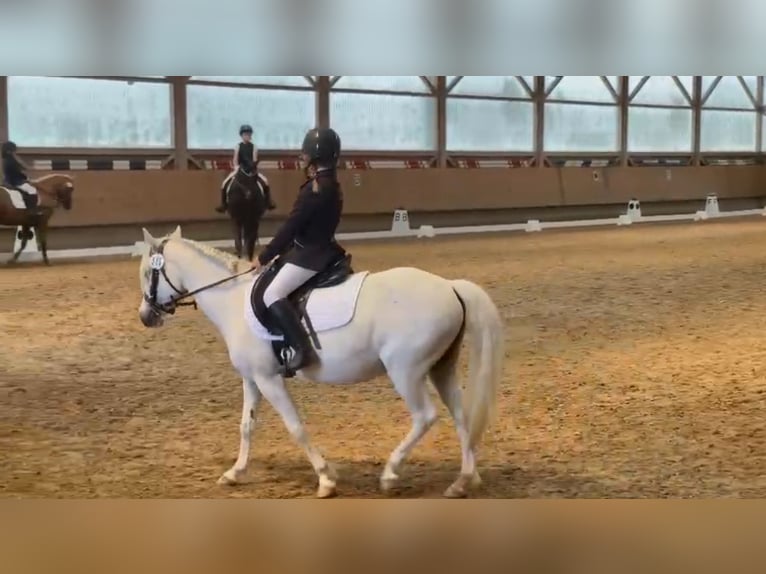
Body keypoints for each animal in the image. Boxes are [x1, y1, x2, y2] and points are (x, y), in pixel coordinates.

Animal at [138, 227, 508, 498]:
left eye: (146, 274)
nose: (145, 317)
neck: (232, 299)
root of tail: (450, 287)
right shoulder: (252, 377)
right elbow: (247, 425)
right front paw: (234, 472)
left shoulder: (269, 379)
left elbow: (295, 427)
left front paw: (326, 479)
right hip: (440, 367)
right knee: (461, 415)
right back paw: (463, 481)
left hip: (406, 371)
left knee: (425, 416)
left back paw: (390, 474)